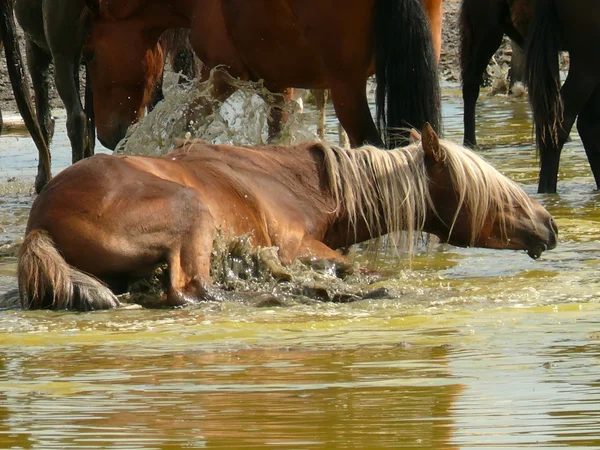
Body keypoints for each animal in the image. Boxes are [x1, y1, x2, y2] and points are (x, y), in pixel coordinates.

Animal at [15, 125, 556, 312]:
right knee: (191, 291)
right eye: (490, 193)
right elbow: (358, 267)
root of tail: (40, 222)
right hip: (192, 217)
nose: (548, 225)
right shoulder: (300, 247)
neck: (305, 188)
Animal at [83, 0, 440, 151]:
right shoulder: (278, 82)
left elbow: (181, 126)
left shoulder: (221, 75)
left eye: (89, 55)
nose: (107, 137)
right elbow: (276, 137)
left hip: (347, 88)